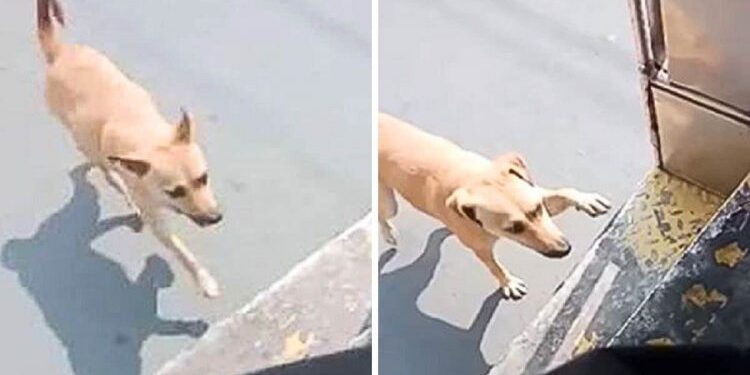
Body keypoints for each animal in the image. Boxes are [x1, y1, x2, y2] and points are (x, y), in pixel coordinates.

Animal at [37, 0, 223, 300]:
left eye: (203, 178)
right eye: (175, 192)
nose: (215, 218)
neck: (148, 140)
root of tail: (59, 53)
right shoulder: (156, 219)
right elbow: (181, 251)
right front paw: (203, 280)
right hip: (83, 141)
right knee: (105, 172)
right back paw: (118, 185)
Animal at [378, 113, 612, 302]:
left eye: (537, 209)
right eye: (513, 229)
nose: (565, 250)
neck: (472, 179)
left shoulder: (537, 195)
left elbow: (564, 192)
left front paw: (586, 199)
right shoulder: (481, 249)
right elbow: (495, 267)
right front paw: (507, 282)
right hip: (390, 204)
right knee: (381, 215)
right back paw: (388, 233)